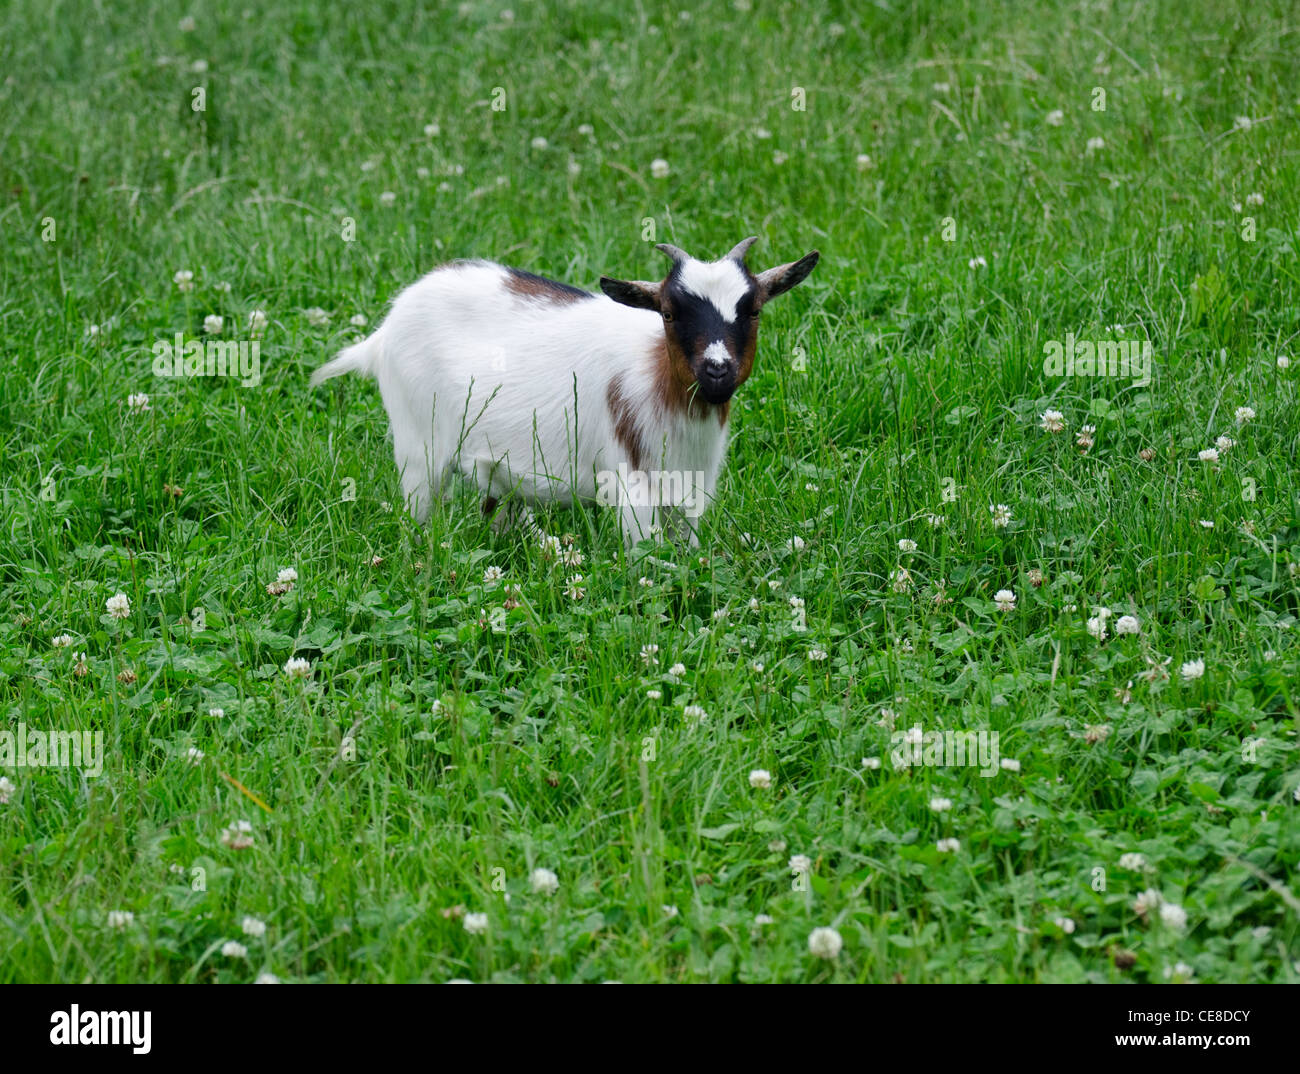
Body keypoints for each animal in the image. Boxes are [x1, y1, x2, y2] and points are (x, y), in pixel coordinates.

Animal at [309, 237, 819, 547]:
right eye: (669, 313)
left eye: (753, 310)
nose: (716, 370)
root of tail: (383, 334)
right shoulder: (629, 483)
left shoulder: (688, 487)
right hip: (420, 449)